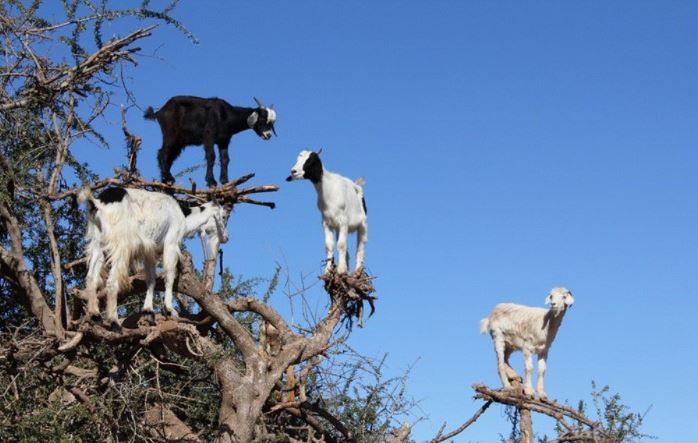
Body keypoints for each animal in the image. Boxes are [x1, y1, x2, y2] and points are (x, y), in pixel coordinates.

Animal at [79, 186, 228, 324]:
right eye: (224, 216)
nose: (226, 238)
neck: (183, 216)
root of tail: (97, 203)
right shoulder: (171, 243)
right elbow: (169, 275)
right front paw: (170, 309)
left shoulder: (150, 251)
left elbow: (151, 279)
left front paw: (148, 309)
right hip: (121, 244)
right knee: (111, 280)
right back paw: (114, 321)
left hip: (98, 243)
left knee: (91, 277)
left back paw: (95, 314)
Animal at [145, 96, 278, 186]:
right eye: (262, 120)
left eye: (272, 123)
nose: (268, 135)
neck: (225, 115)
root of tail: (159, 111)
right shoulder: (209, 136)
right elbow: (211, 156)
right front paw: (211, 181)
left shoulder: (224, 140)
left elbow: (225, 159)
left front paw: (225, 181)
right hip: (170, 134)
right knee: (163, 153)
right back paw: (169, 178)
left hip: (179, 141)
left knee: (168, 157)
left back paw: (165, 179)